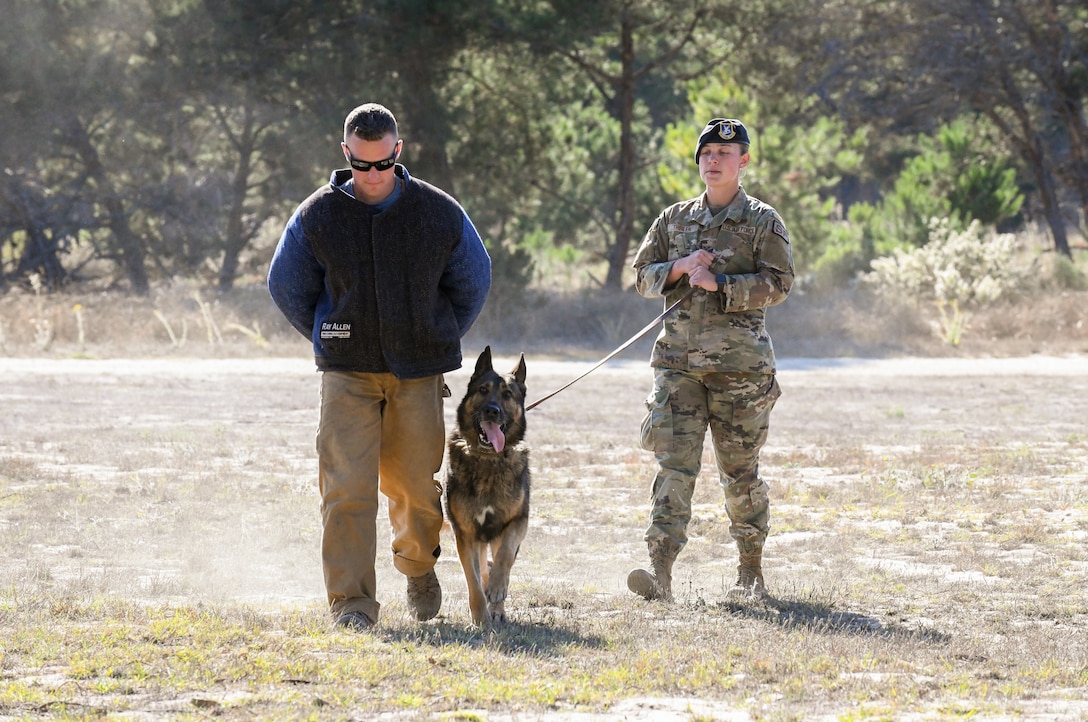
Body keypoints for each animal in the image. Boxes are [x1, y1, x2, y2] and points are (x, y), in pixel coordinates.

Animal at [441, 347, 526, 621]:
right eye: (482, 390)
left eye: (507, 394)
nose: (492, 411)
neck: (488, 460)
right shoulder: (466, 535)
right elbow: (473, 581)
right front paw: (480, 617)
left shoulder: (518, 521)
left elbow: (505, 556)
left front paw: (498, 590)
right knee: (481, 568)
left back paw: (497, 605)